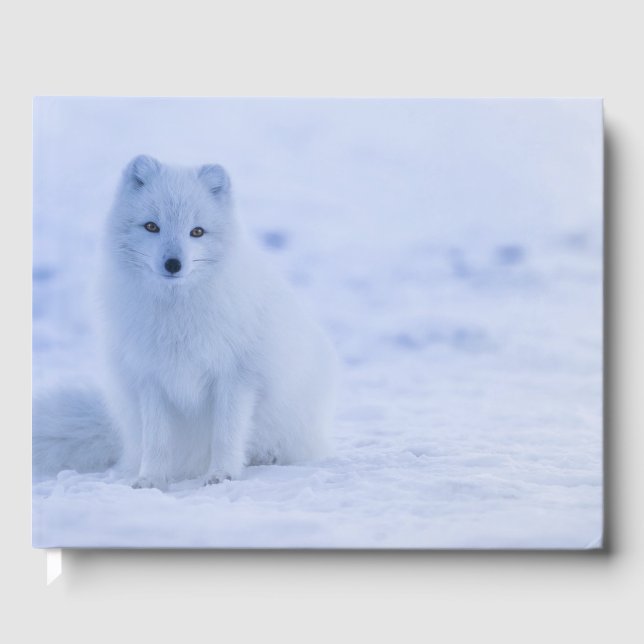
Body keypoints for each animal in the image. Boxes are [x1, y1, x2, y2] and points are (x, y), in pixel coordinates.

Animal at [33, 155, 339, 489]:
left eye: (197, 232)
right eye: (151, 226)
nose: (173, 264)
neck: (176, 314)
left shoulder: (236, 377)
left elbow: (226, 434)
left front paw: (222, 475)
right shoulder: (150, 378)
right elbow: (156, 441)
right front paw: (150, 480)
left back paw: (266, 456)